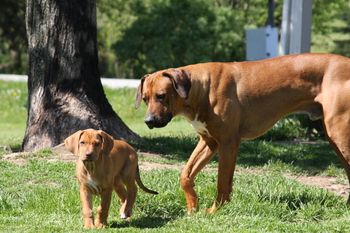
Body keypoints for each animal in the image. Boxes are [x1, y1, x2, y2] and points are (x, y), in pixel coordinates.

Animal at [135, 53, 350, 214]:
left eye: (161, 96)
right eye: (145, 99)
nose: (149, 121)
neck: (200, 88)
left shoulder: (228, 143)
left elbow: (222, 182)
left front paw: (215, 211)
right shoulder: (209, 141)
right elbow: (185, 175)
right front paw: (192, 207)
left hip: (339, 134)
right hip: (336, 139)